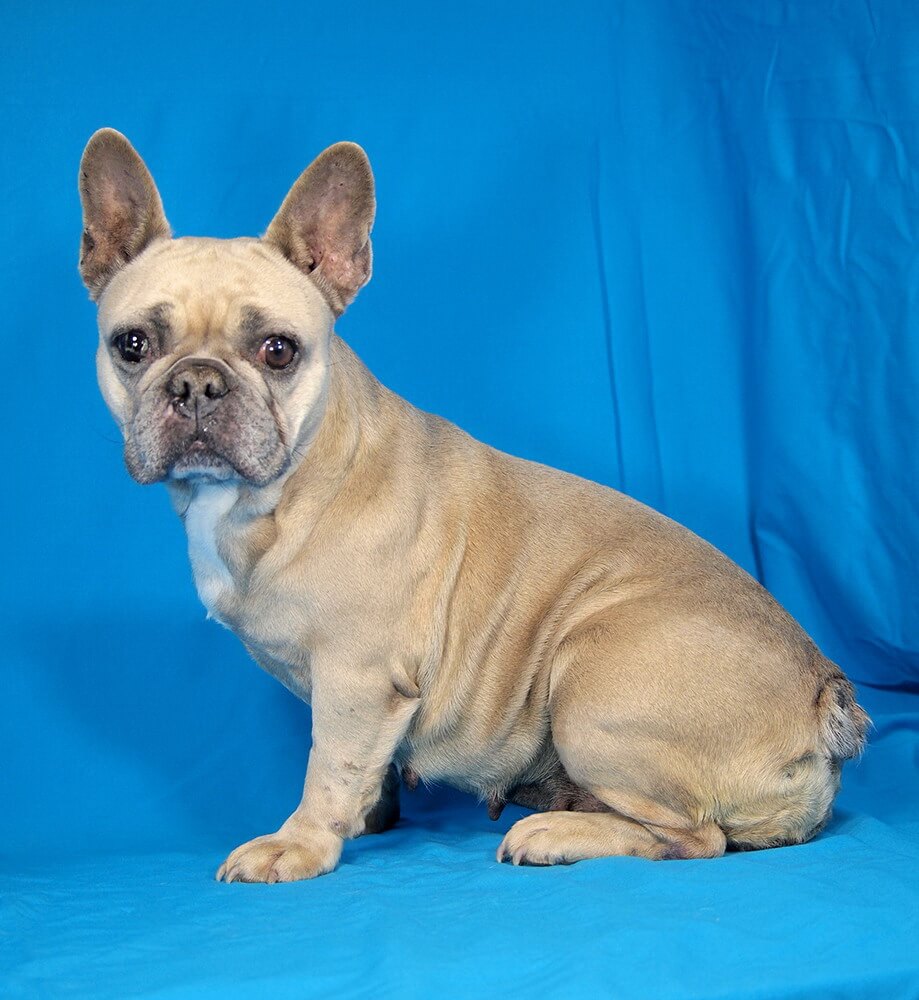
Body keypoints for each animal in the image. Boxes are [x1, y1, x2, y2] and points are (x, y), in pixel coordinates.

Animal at [79, 129, 868, 882]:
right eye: (132, 344)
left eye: (278, 350)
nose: (197, 384)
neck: (285, 483)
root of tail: (823, 691)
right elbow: (363, 768)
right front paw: (368, 817)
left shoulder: (356, 676)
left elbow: (328, 766)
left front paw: (300, 844)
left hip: (591, 681)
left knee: (697, 837)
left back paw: (556, 833)